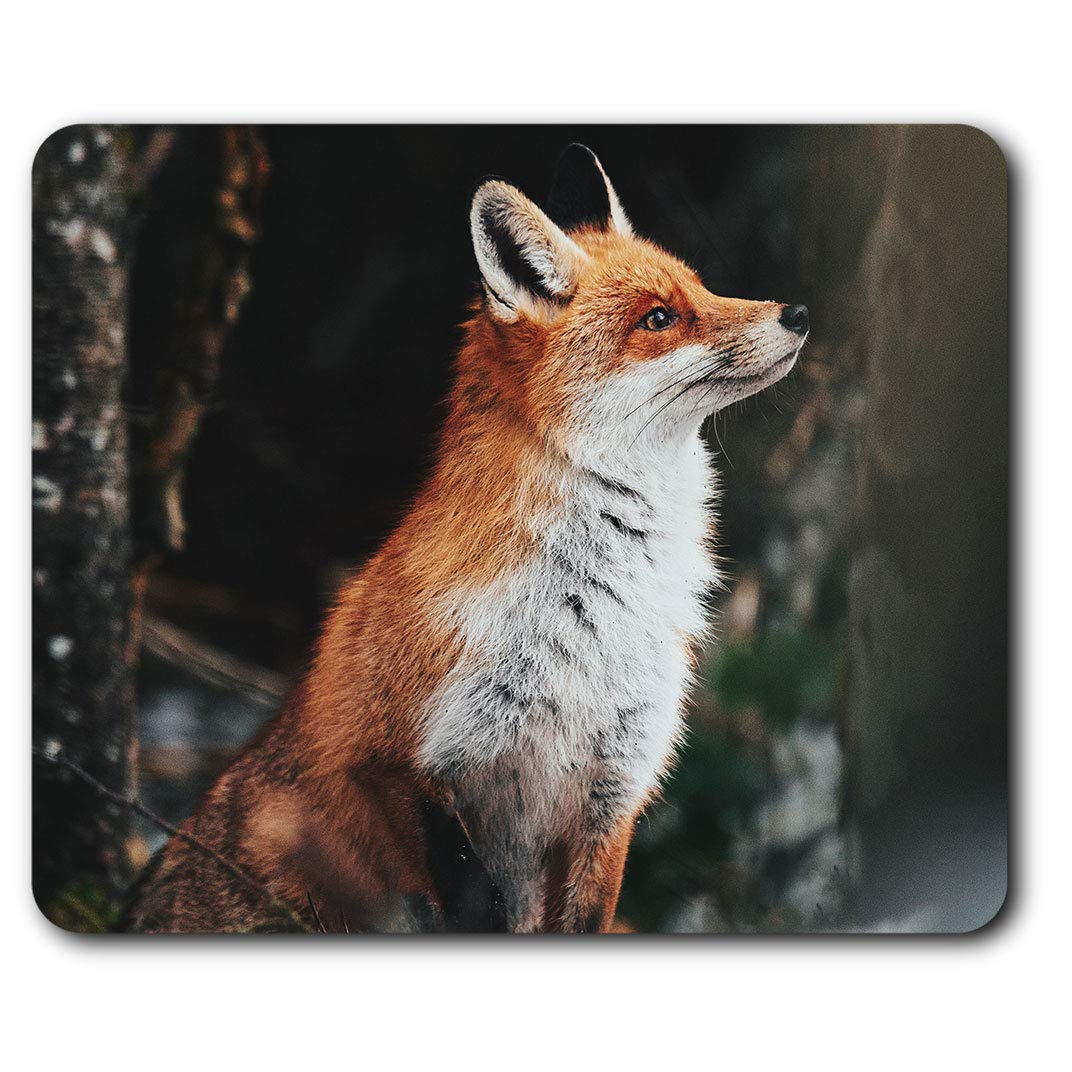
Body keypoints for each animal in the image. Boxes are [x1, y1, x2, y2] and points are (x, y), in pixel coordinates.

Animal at [124, 144, 808, 933]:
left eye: (703, 287)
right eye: (659, 317)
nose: (798, 312)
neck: (591, 615)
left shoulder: (612, 792)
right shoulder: (394, 762)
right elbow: (476, 903)